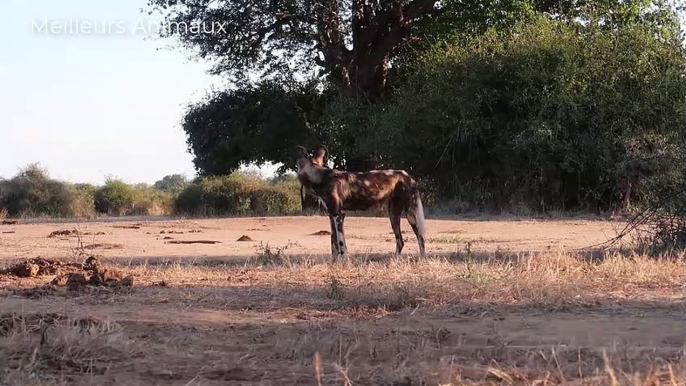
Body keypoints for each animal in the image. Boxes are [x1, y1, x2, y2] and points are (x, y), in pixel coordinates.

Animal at [298, 146, 428, 260]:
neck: (320, 177)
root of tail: (408, 176)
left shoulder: (338, 215)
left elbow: (340, 244)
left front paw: (343, 261)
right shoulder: (332, 215)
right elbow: (333, 244)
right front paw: (334, 263)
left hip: (411, 215)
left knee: (421, 238)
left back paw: (422, 259)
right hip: (393, 215)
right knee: (400, 241)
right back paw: (394, 260)